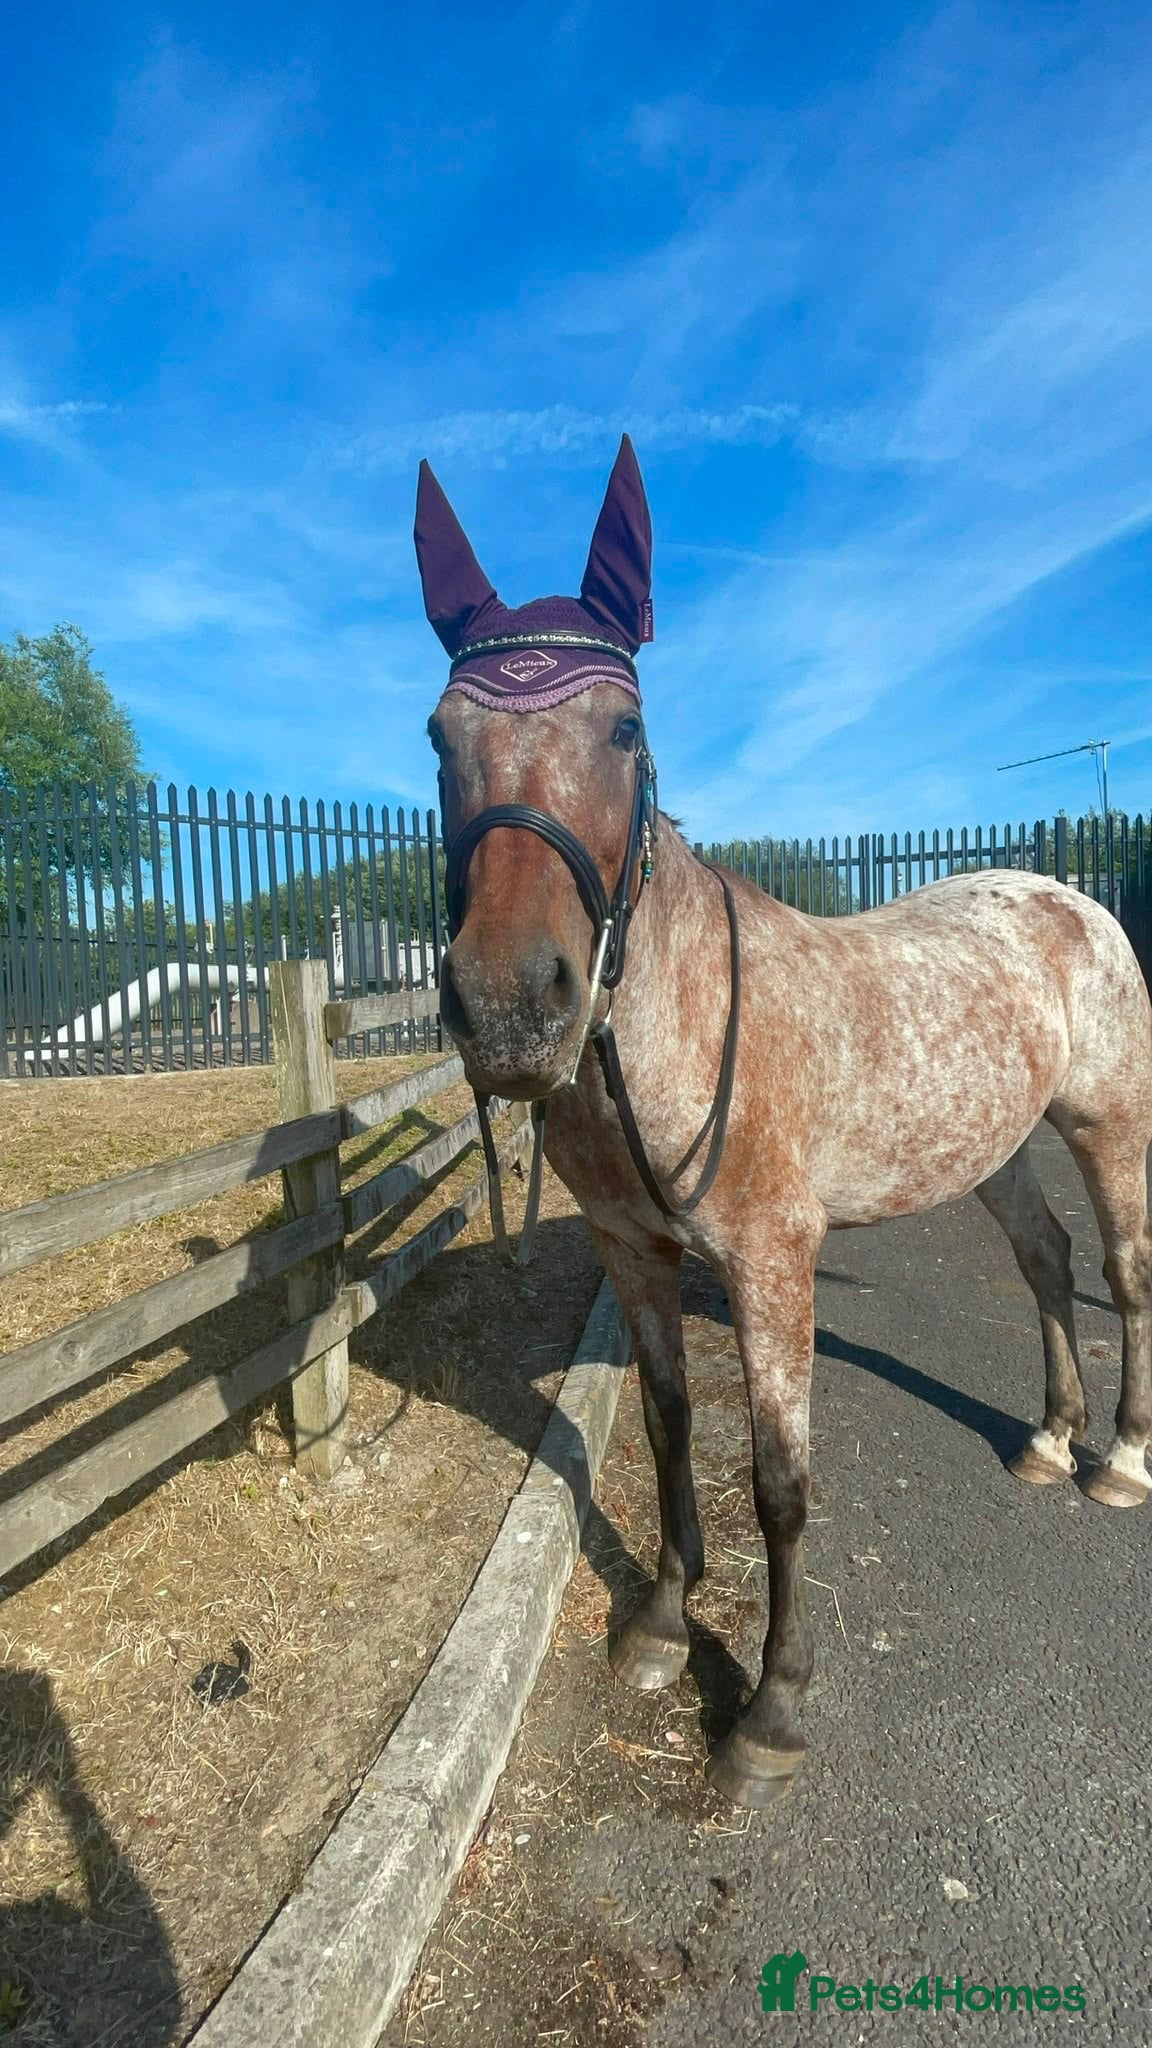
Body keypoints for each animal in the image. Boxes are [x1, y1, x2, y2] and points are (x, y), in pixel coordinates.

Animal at [413, 437, 1152, 1809]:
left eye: (624, 726)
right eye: (441, 733)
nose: (508, 1004)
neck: (685, 1020)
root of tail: (1065, 892)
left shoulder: (771, 1262)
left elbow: (782, 1482)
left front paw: (771, 1705)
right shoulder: (635, 1251)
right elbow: (665, 1425)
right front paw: (661, 1621)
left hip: (1107, 1127)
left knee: (1124, 1268)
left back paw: (1122, 1457)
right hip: (994, 1148)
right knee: (1046, 1259)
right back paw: (1046, 1436)